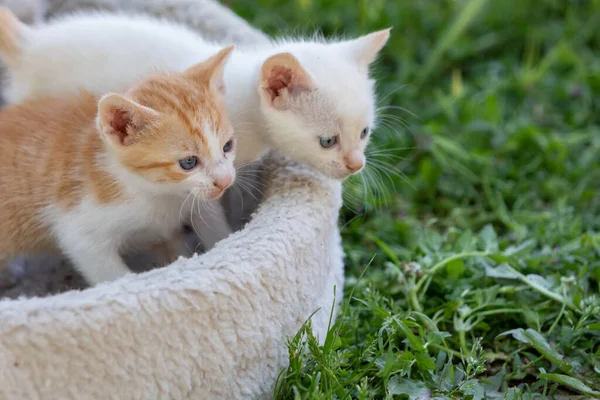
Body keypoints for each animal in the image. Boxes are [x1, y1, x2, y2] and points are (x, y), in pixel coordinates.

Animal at [0, 45, 237, 286]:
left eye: (227, 146)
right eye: (188, 162)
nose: (226, 181)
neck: (159, 193)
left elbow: (208, 220)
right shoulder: (79, 231)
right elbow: (111, 275)